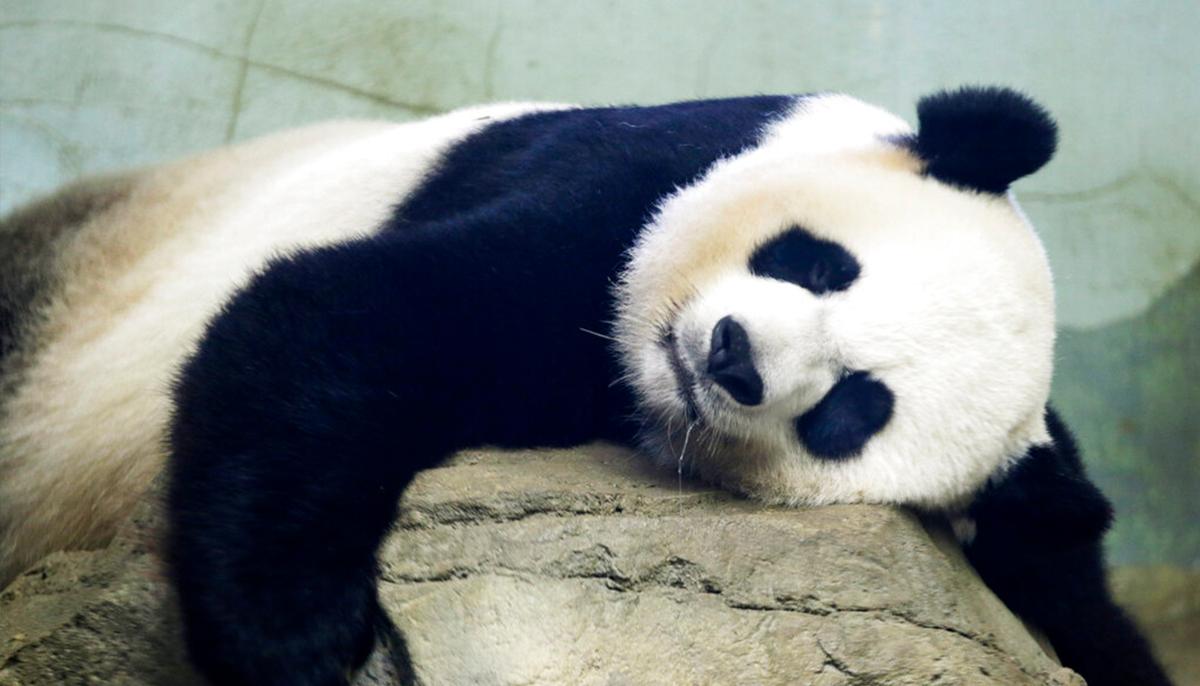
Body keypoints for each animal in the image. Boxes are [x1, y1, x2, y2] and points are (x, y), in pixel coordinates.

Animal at [0, 87, 1171, 686]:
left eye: (854, 408)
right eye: (818, 263)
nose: (732, 355)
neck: (631, 379)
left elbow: (1073, 585)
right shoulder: (633, 180)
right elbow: (343, 312)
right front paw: (295, 642)